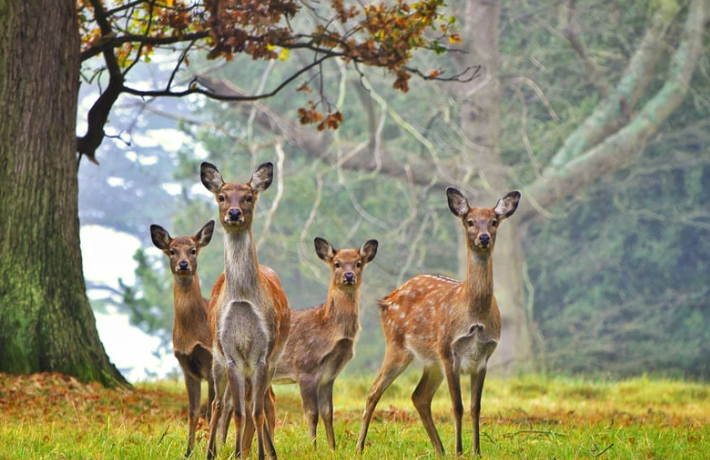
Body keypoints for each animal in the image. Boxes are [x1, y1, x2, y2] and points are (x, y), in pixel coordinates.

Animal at [149, 220, 216, 458]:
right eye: (172, 251)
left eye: (193, 250)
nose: (184, 264)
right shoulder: (187, 367)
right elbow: (193, 412)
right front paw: (188, 451)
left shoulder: (212, 362)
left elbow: (211, 410)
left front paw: (211, 452)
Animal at [201, 161, 290, 460]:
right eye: (221, 196)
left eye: (249, 197)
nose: (234, 212)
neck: (242, 298)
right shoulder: (230, 354)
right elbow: (240, 412)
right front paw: (238, 453)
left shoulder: (263, 352)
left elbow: (256, 411)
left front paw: (260, 454)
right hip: (216, 355)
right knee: (218, 403)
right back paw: (210, 452)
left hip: (273, 359)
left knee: (265, 401)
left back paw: (270, 451)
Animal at [272, 237, 378, 450]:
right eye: (337, 263)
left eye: (358, 263)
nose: (348, 276)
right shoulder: (304, 368)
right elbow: (311, 414)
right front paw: (313, 448)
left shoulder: (329, 376)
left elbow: (328, 412)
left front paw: (332, 448)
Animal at [356, 188, 521, 457]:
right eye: (470, 221)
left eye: (494, 221)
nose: (484, 237)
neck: (474, 315)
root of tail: (386, 300)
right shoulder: (448, 350)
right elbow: (458, 406)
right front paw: (459, 451)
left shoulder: (483, 357)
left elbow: (476, 407)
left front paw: (476, 451)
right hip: (398, 345)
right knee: (374, 390)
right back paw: (359, 447)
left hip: (430, 362)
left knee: (419, 396)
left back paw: (439, 450)